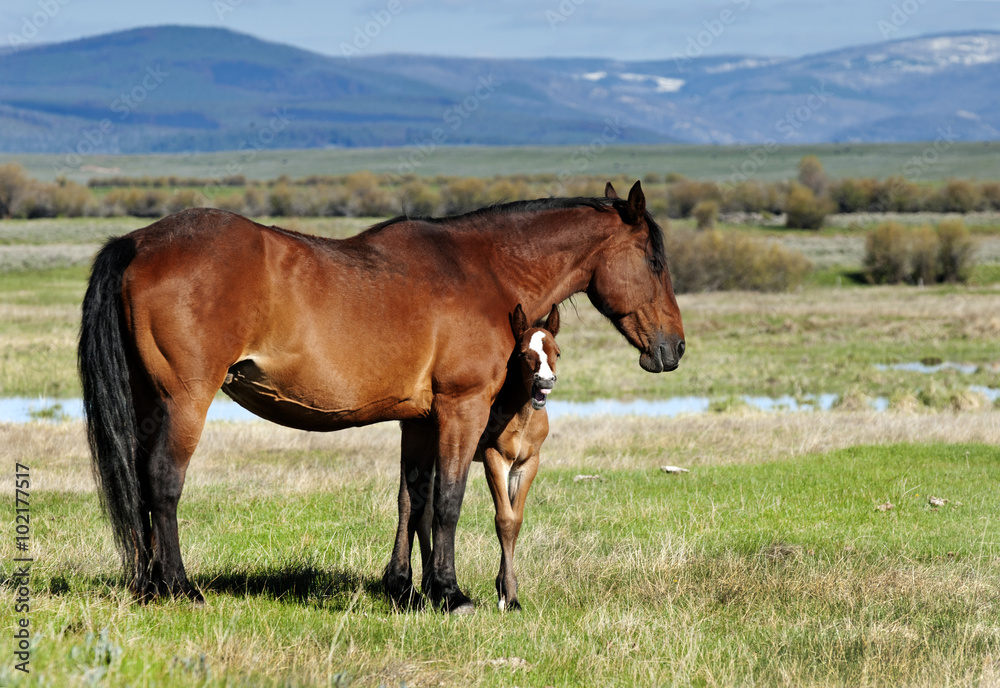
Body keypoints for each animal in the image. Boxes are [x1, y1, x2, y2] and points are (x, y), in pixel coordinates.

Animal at [414, 304, 556, 612]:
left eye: (557, 352)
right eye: (523, 353)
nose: (545, 381)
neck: (522, 417)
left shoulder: (528, 464)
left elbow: (516, 520)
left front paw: (505, 589)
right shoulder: (494, 458)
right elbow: (503, 519)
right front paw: (509, 596)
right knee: (425, 512)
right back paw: (430, 583)